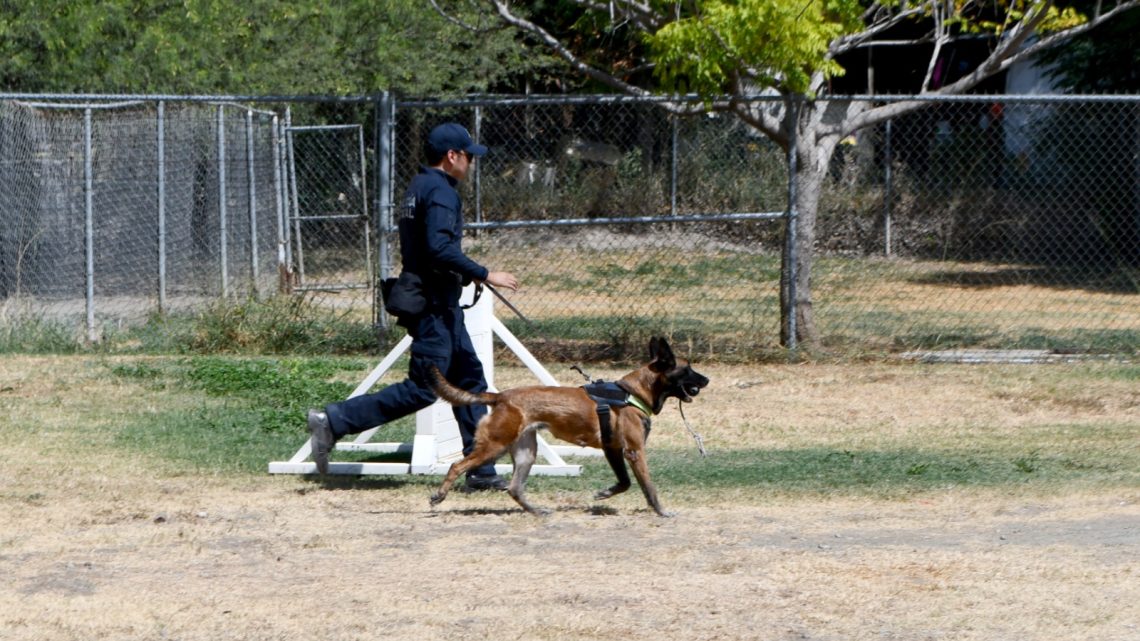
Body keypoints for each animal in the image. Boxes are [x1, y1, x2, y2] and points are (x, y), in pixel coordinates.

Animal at [428, 337, 706, 515]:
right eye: (688, 369)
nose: (707, 379)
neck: (632, 393)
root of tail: (501, 396)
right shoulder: (634, 451)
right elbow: (648, 486)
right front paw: (661, 511)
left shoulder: (613, 450)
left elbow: (625, 481)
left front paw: (605, 493)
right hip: (495, 446)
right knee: (456, 465)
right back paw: (439, 496)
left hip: (526, 453)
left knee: (515, 489)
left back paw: (536, 511)